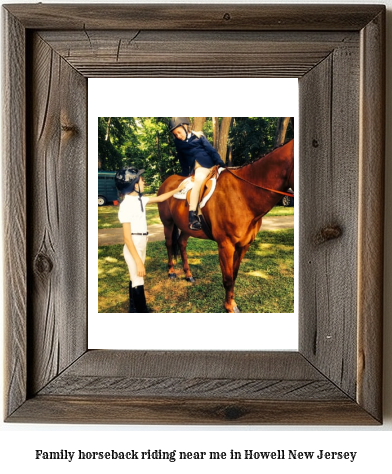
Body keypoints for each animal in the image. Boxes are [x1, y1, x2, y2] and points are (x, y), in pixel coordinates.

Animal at [156, 139, 294, 312]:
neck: (243, 195)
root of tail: (166, 182)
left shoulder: (244, 245)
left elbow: (234, 275)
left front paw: (231, 302)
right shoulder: (226, 245)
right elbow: (227, 278)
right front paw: (230, 306)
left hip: (186, 226)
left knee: (181, 244)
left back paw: (188, 275)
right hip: (167, 223)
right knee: (169, 244)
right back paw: (171, 272)